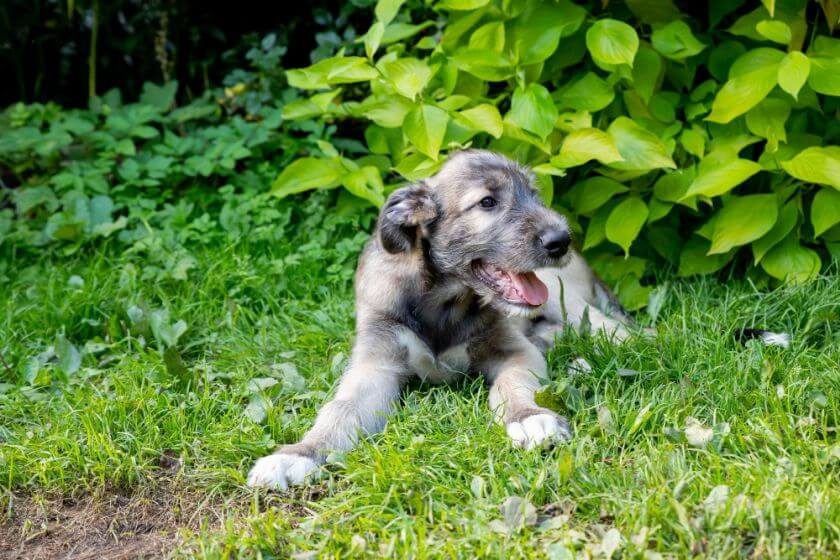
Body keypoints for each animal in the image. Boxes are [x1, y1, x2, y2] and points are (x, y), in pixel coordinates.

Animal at [246, 149, 632, 490]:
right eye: (487, 202)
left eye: (534, 195)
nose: (560, 240)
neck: (443, 300)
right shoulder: (376, 364)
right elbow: (339, 409)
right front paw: (299, 453)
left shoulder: (514, 351)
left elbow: (512, 384)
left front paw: (528, 417)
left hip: (565, 297)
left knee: (619, 329)